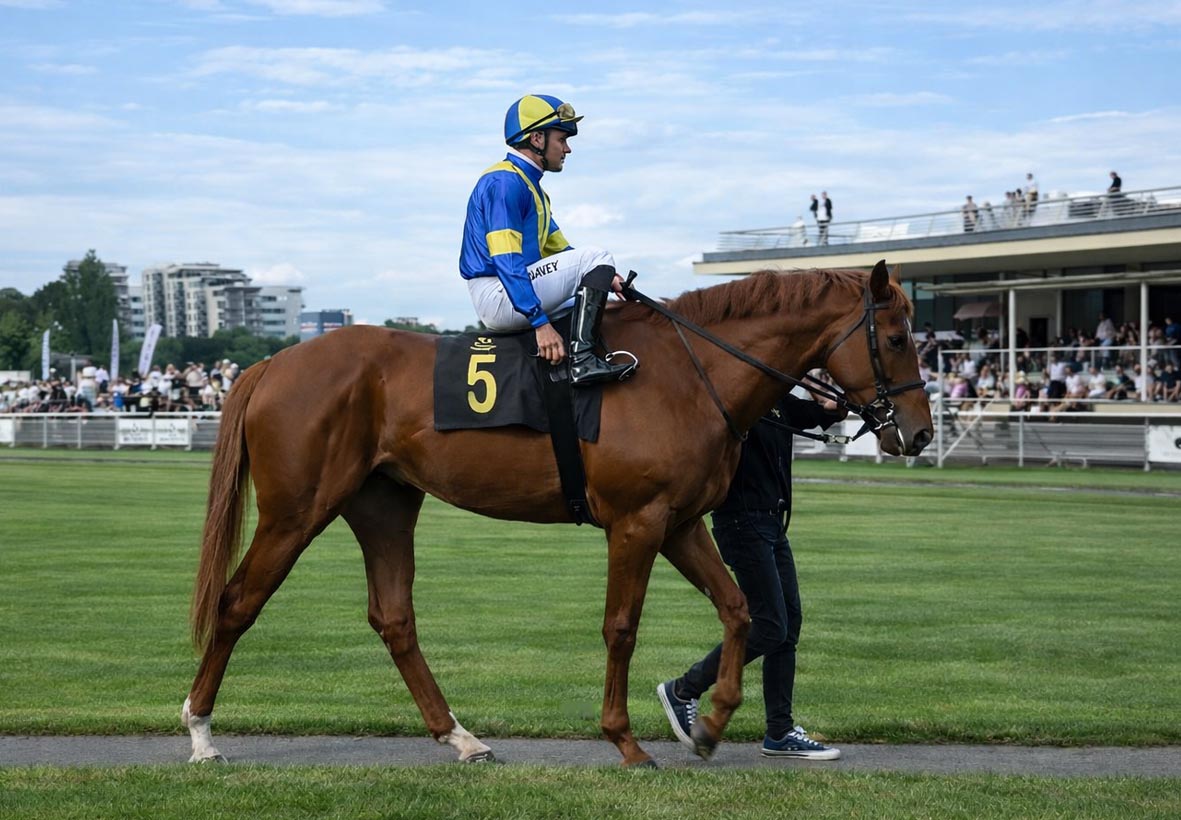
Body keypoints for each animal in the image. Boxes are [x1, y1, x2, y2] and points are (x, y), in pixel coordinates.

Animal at [183, 260, 933, 767]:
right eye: (898, 338)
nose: (920, 434)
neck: (688, 372)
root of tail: (273, 363)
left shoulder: (680, 523)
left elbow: (741, 609)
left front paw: (710, 723)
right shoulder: (636, 523)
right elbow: (621, 628)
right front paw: (626, 742)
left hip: (384, 505)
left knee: (393, 618)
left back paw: (461, 737)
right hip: (297, 511)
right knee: (237, 602)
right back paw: (200, 732)